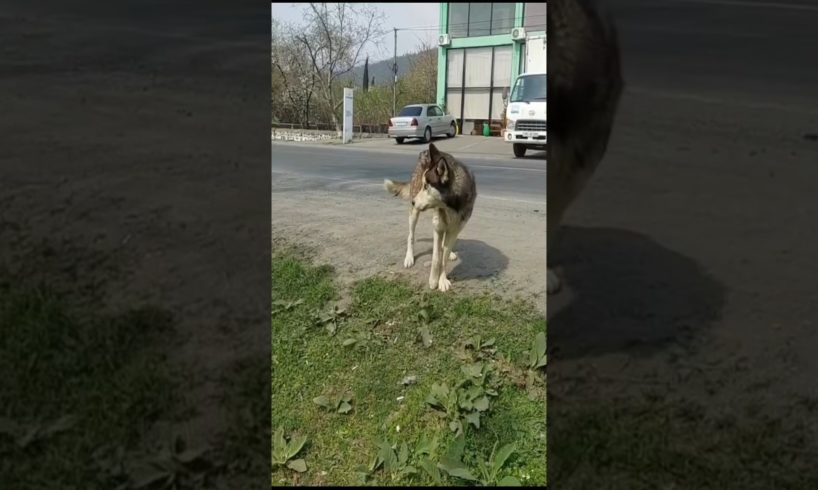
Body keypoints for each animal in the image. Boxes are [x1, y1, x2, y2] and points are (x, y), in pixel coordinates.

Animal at [384, 144, 474, 292]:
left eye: (426, 187)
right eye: (423, 185)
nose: (413, 201)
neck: (451, 206)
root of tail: (425, 152)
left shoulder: (454, 230)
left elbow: (443, 256)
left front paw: (442, 280)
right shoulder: (437, 227)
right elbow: (437, 258)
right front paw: (433, 280)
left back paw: (450, 252)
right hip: (414, 214)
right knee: (411, 236)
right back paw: (409, 257)